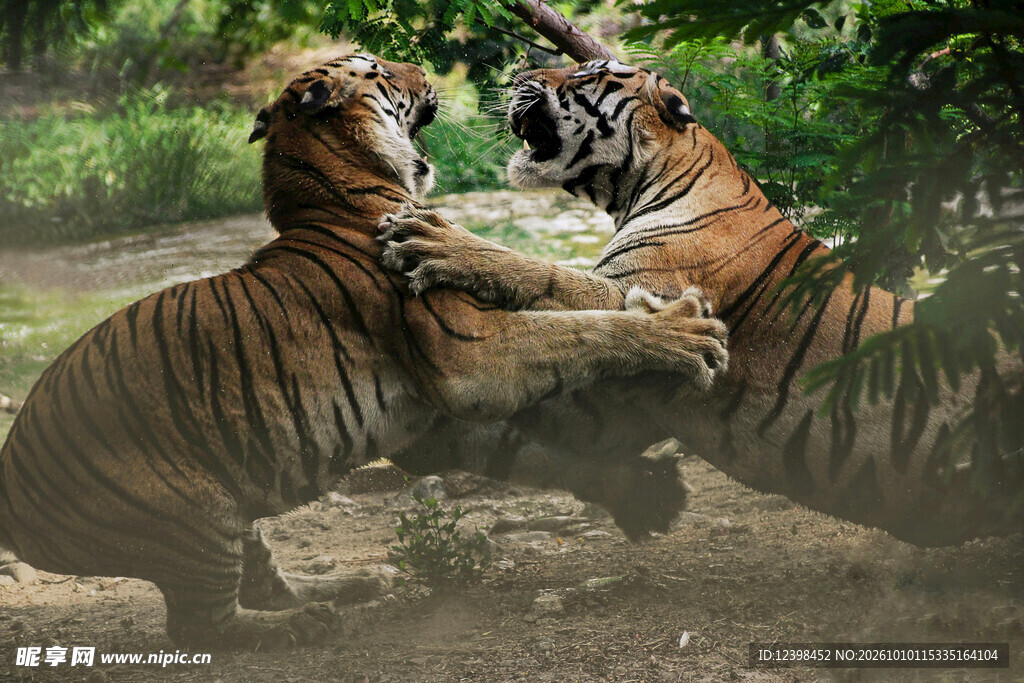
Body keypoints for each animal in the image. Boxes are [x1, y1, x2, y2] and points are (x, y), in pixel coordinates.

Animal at [0, 55, 731, 649]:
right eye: (380, 69)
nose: (424, 69)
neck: (341, 191)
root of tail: (12, 478)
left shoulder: (428, 421)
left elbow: (533, 454)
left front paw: (645, 494)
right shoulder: (468, 358)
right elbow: (583, 328)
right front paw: (684, 334)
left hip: (231, 514)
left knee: (262, 580)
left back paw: (352, 585)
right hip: (191, 518)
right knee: (200, 624)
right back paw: (306, 624)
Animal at [377, 58, 1024, 547]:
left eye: (587, 72)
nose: (517, 72)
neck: (645, 184)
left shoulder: (638, 298)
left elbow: (547, 280)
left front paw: (433, 238)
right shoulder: (612, 412)